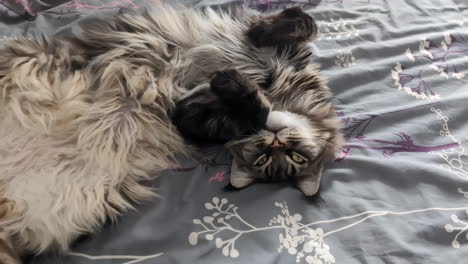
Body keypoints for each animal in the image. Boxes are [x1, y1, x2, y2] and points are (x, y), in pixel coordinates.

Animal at [0, 5, 344, 262]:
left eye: (294, 157)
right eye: (264, 158)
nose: (274, 140)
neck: (283, 92)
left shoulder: (188, 115)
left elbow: (249, 109)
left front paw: (233, 84)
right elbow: (305, 24)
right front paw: (271, 27)